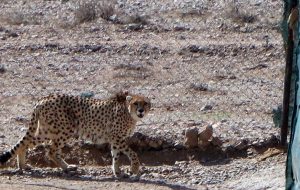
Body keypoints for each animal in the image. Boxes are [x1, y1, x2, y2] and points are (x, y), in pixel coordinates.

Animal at [0, 91, 150, 177]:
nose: (141, 110)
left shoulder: (115, 139)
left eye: (145, 103)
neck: (129, 113)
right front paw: (134, 169)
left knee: (25, 143)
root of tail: (43, 98)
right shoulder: (117, 137)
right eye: (136, 103)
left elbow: (116, 156)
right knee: (51, 151)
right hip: (65, 129)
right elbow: (132, 153)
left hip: (46, 130)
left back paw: (23, 166)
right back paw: (66, 167)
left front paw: (117, 172)